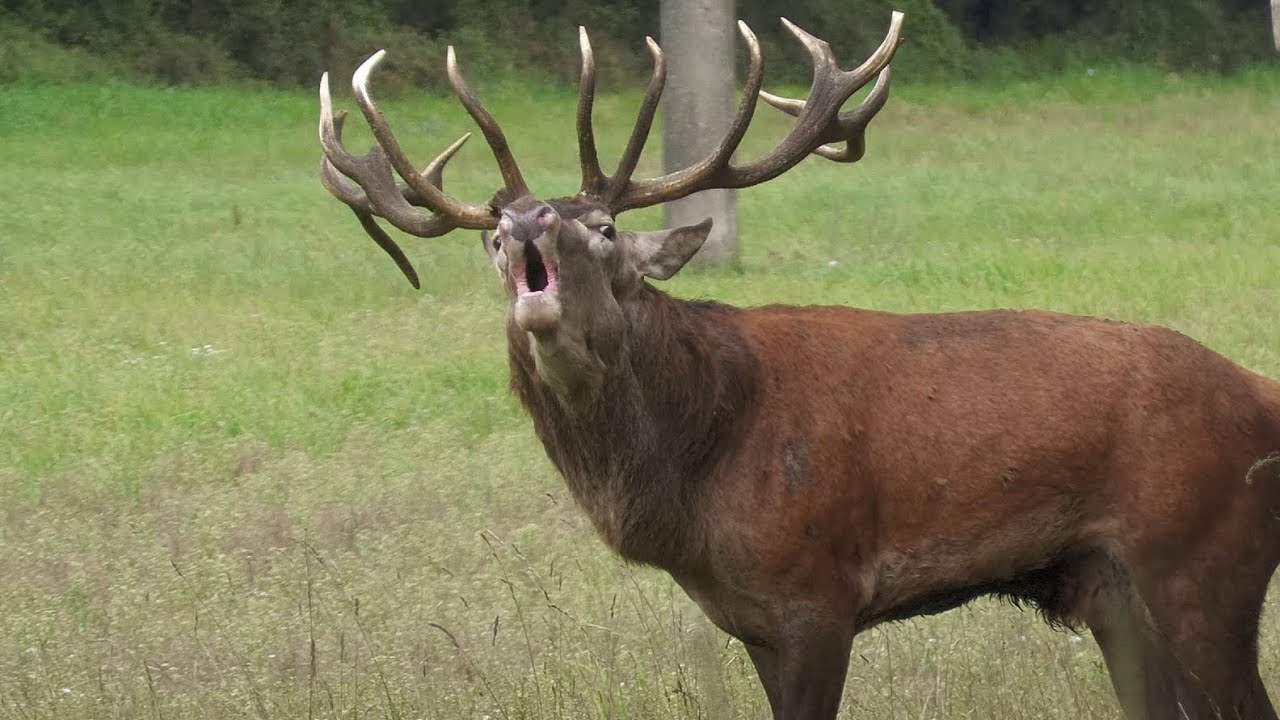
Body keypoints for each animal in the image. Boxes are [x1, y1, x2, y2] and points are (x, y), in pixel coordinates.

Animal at [317, 10, 1280, 720]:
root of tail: (1264, 394)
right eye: (490, 239)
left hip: (1204, 563)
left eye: (605, 229)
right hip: (1120, 595)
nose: (525, 221)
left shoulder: (818, 590)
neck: (698, 471)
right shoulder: (747, 616)